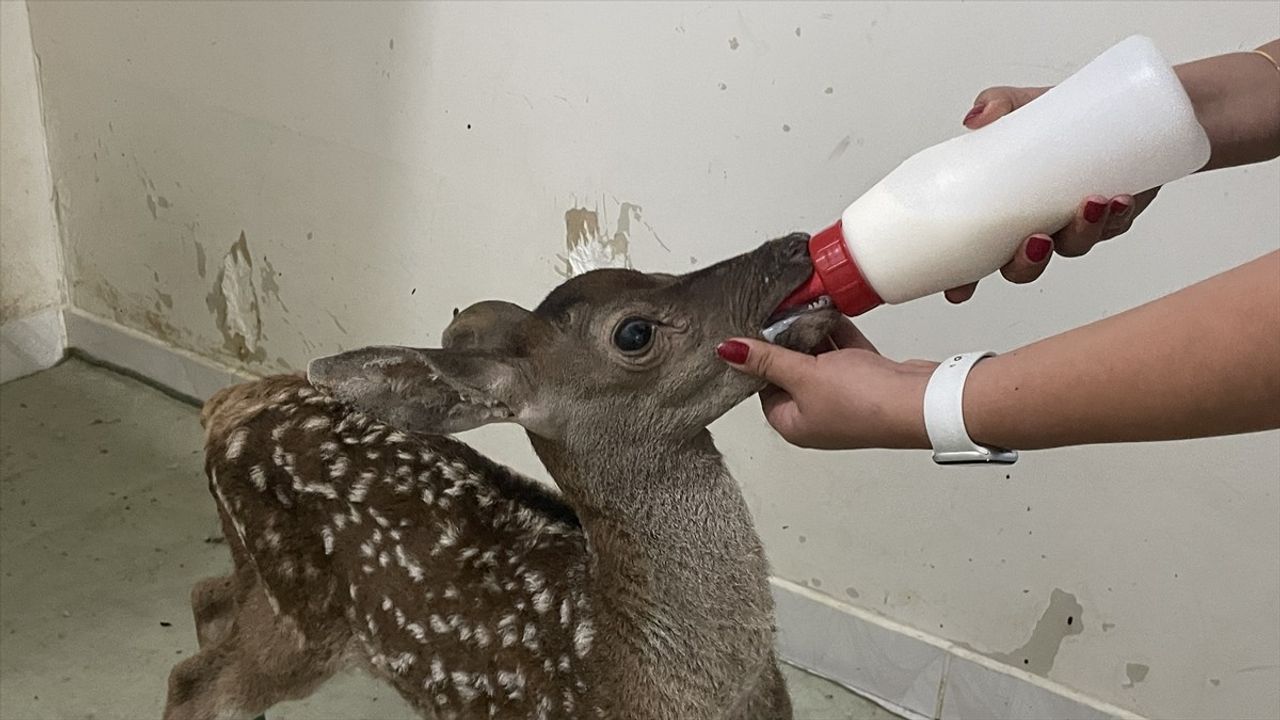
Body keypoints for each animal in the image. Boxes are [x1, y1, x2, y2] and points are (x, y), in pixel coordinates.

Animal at [162, 233, 839, 712]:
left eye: (658, 268)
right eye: (634, 331)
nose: (794, 245)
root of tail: (227, 405)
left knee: (206, 598)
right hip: (300, 613)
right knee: (195, 681)